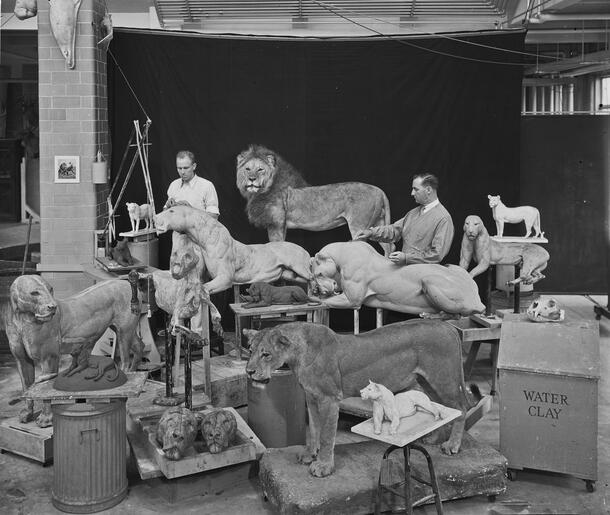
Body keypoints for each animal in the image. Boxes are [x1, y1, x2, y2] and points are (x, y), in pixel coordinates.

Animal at [235, 144, 392, 256]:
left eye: (260, 169)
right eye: (247, 169)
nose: (251, 179)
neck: (260, 192)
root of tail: (379, 190)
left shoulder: (276, 224)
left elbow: (277, 248)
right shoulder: (281, 226)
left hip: (359, 226)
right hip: (377, 225)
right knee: (389, 247)